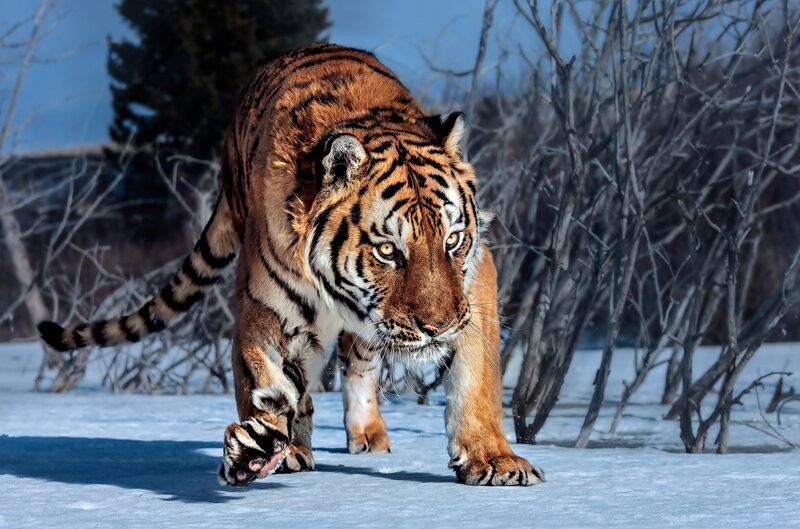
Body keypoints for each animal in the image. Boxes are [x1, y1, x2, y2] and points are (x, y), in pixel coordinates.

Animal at [38, 43, 543, 487]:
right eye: (387, 251)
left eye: (453, 241)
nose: (437, 328)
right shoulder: (266, 310)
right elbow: (267, 381)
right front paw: (260, 450)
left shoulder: (476, 285)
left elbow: (477, 378)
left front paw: (494, 459)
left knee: (358, 365)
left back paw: (368, 435)